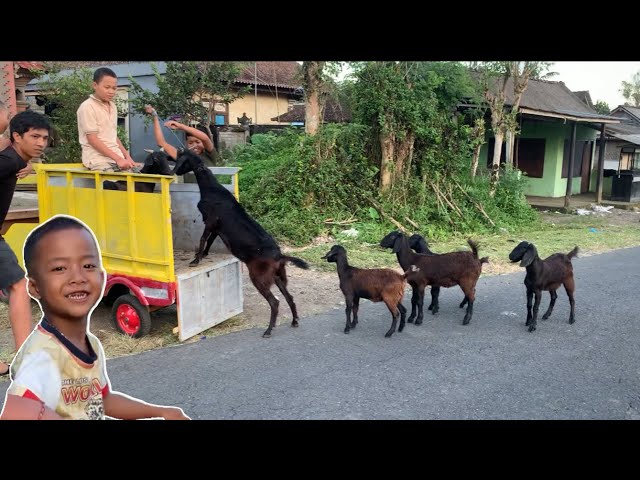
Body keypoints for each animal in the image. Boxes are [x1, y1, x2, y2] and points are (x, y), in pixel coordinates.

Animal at [171, 149, 308, 338]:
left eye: (181, 159)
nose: (175, 172)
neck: (212, 189)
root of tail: (280, 256)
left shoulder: (210, 222)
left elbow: (203, 239)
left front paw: (196, 260)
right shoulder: (217, 228)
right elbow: (210, 240)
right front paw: (203, 255)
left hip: (259, 277)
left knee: (275, 302)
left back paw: (268, 330)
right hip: (278, 277)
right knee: (290, 297)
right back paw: (294, 321)